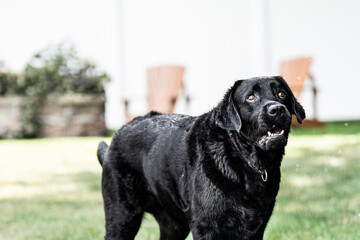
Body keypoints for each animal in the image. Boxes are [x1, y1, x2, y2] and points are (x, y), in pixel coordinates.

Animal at [97, 76, 306, 239]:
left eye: (282, 94)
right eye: (251, 97)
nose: (277, 109)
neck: (242, 161)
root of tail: (115, 137)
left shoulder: (256, 227)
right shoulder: (205, 226)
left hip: (173, 224)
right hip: (122, 216)